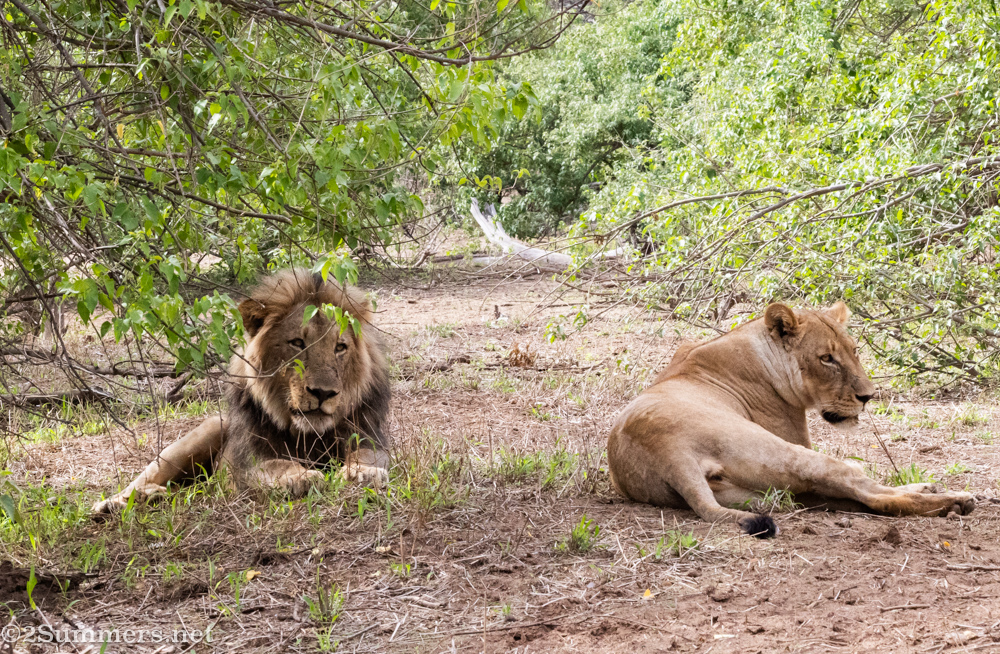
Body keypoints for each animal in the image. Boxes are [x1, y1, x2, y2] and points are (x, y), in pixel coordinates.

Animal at [92, 268, 390, 513]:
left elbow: (368, 456)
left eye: (340, 347)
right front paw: (300, 477)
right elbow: (276, 464)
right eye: (297, 343)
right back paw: (115, 504)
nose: (323, 393)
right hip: (198, 436)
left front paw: (363, 473)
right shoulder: (248, 460)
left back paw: (154, 496)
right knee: (140, 481)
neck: (307, 435)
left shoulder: (368, 437)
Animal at [607, 302, 976, 536]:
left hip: (771, 494)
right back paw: (956, 500)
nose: (868, 396)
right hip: (782, 454)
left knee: (856, 497)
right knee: (869, 494)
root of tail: (669, 454)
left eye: (854, 351)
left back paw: (934, 492)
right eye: (826, 359)